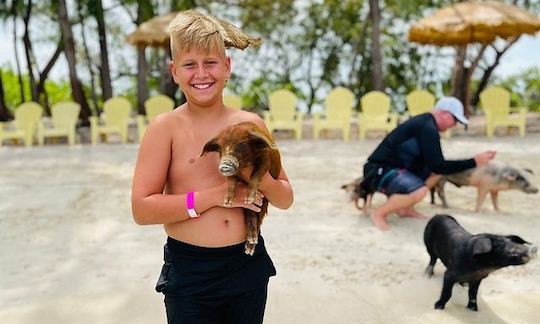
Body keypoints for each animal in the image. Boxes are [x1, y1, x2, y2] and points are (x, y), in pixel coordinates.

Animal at [200, 121, 280, 256]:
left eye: (241, 145)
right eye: (220, 148)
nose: (225, 164)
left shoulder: (265, 159)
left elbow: (255, 175)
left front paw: (249, 199)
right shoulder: (234, 174)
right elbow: (231, 181)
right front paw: (227, 202)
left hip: (263, 203)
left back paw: (250, 248)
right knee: (250, 216)